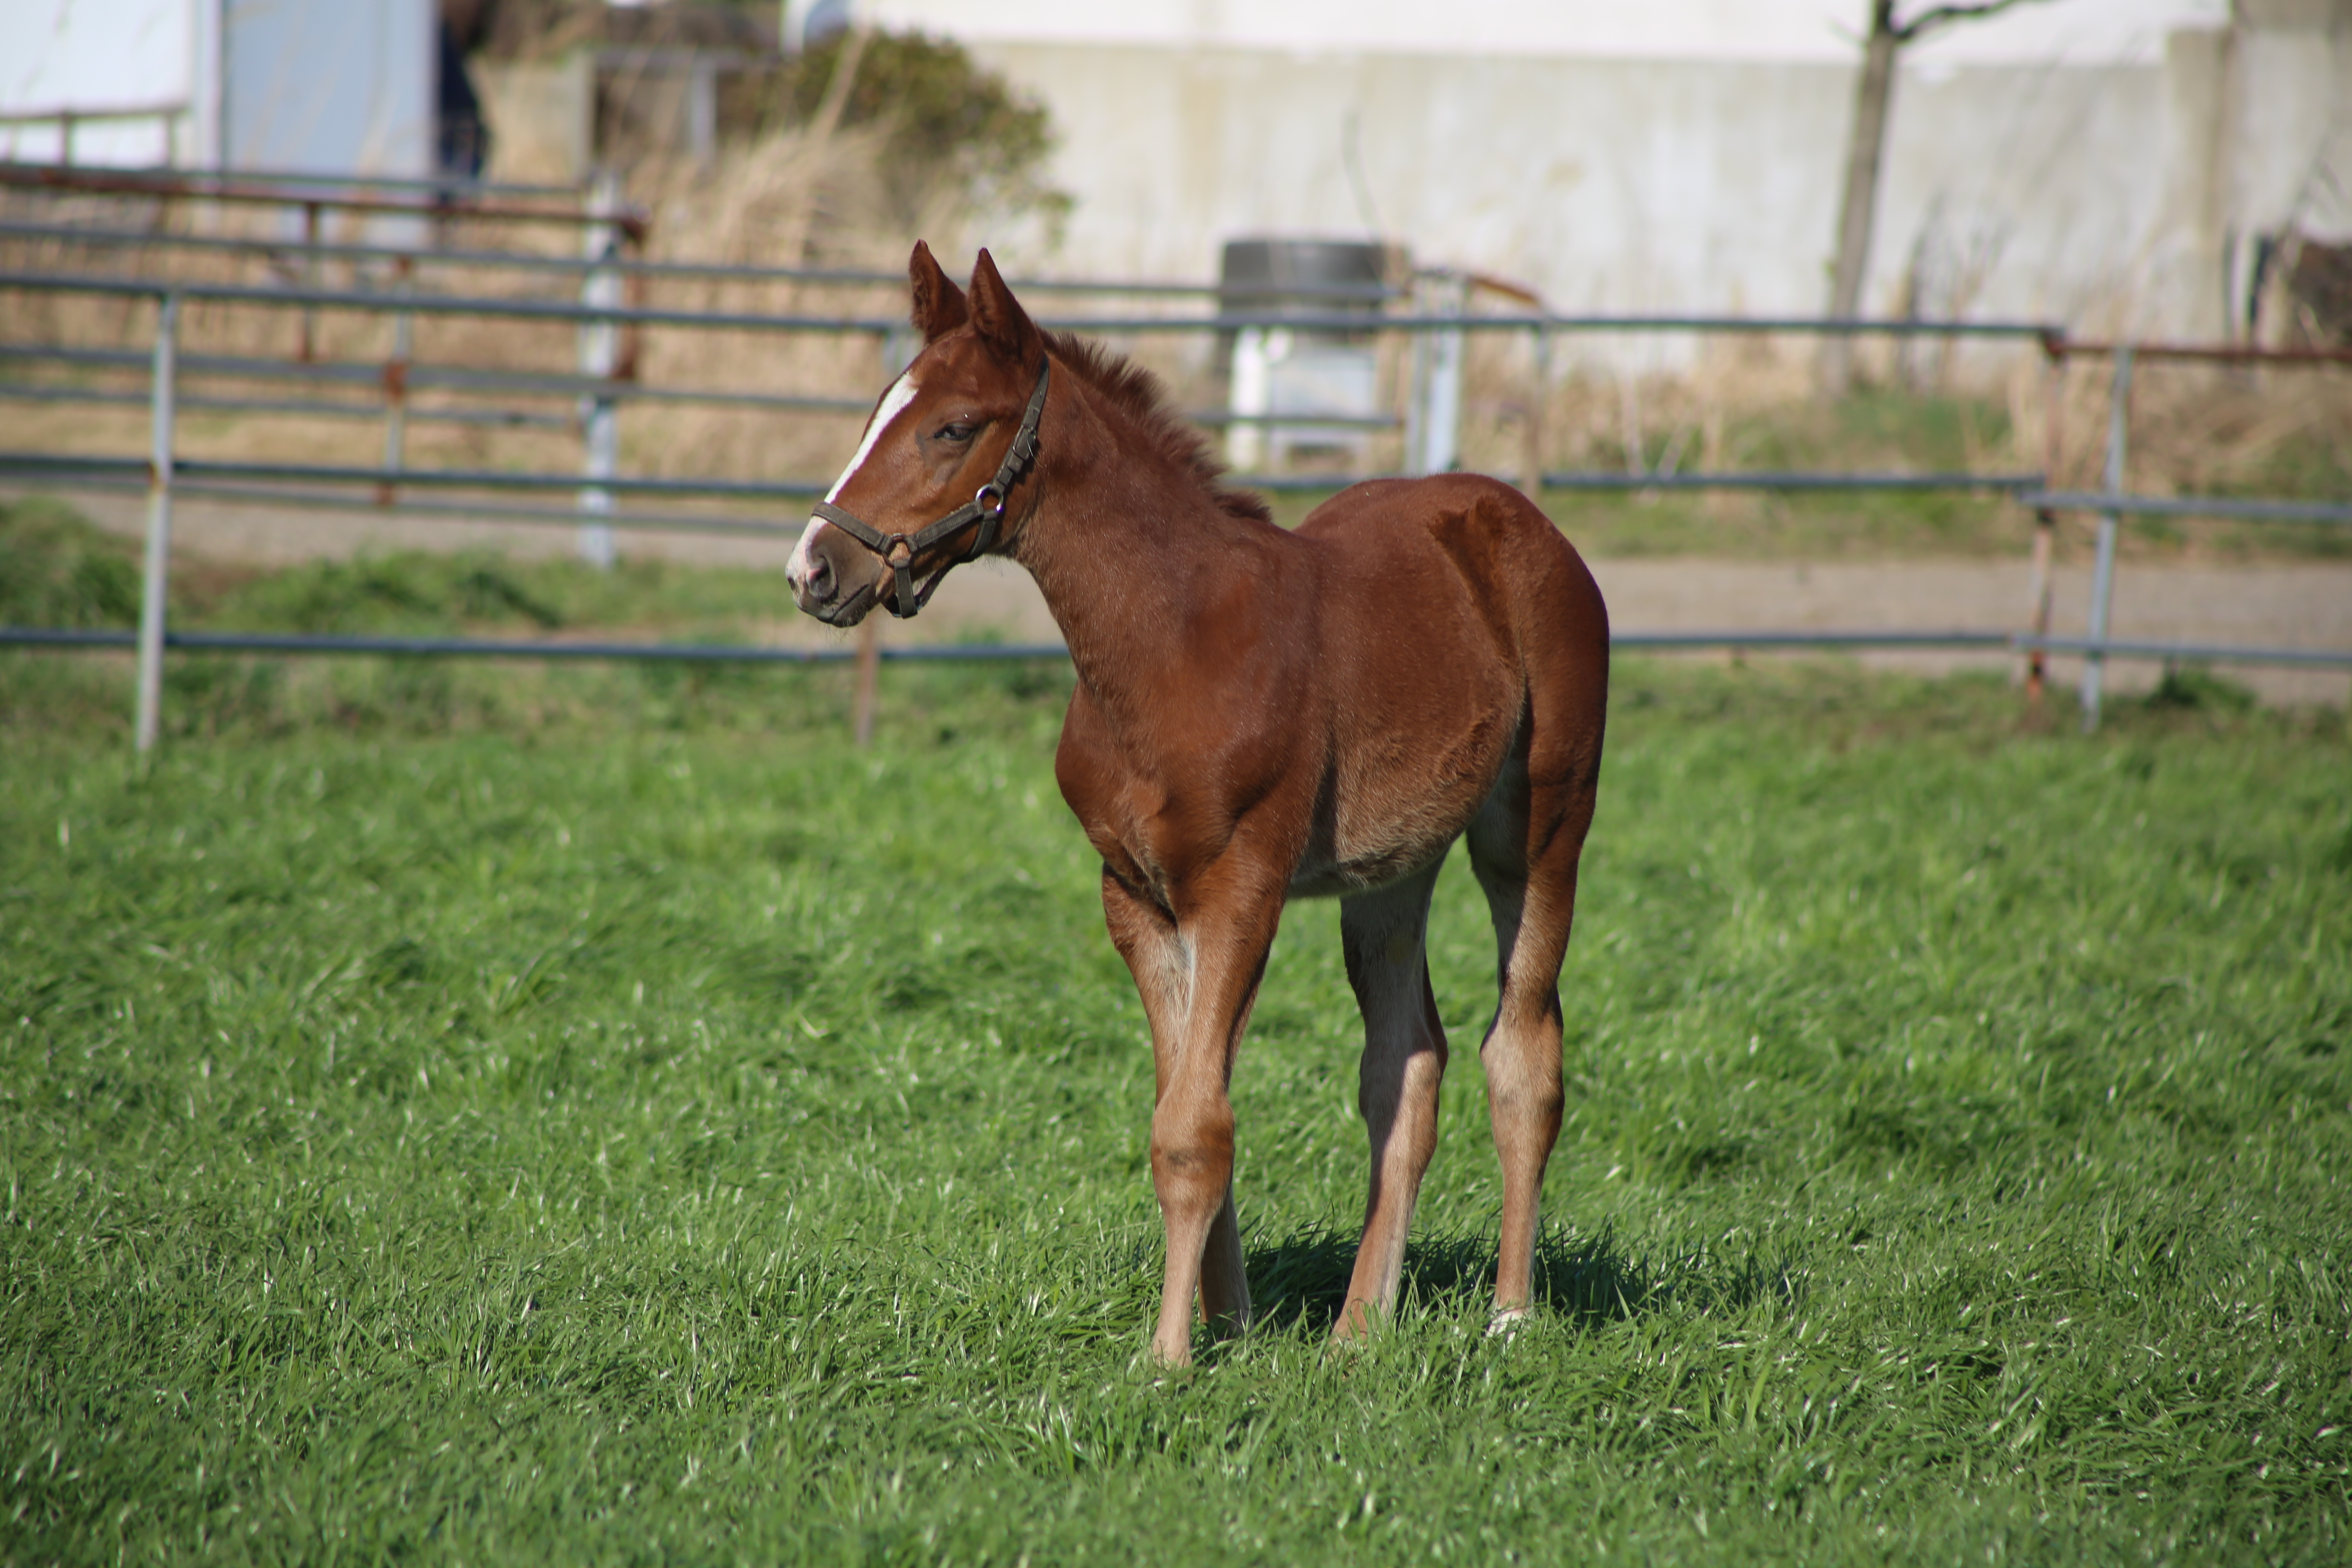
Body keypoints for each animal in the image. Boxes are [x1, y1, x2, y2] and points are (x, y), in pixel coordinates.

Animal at [790, 242, 1618, 1363]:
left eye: (953, 427)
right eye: (882, 407)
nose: (813, 569)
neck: (1169, 645)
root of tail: (1523, 520)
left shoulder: (1241, 889)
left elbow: (1194, 1126)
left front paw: (1168, 1357)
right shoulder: (1136, 898)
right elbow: (1184, 1099)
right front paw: (1233, 1323)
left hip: (1537, 832)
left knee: (1523, 1057)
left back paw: (1509, 1314)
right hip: (1390, 873)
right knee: (1406, 1065)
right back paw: (1358, 1331)